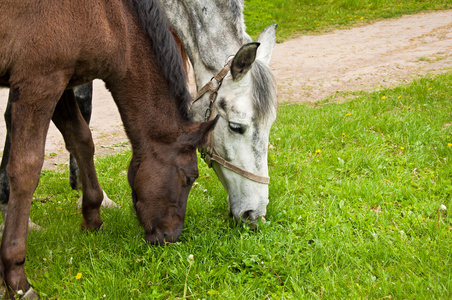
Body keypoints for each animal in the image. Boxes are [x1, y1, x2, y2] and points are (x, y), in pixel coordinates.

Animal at [0, 0, 217, 298]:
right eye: (190, 177)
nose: (170, 237)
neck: (111, 17)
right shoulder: (40, 82)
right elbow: (26, 169)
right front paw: (16, 277)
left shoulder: (62, 82)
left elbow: (81, 139)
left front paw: (92, 215)